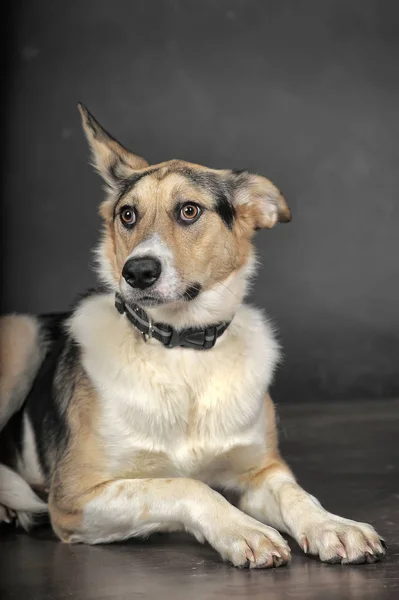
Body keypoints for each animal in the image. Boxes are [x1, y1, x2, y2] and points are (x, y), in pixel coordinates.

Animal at [0, 103, 388, 568]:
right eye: (127, 214)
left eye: (189, 211)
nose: (137, 272)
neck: (183, 347)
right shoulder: (74, 497)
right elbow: (186, 484)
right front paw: (244, 530)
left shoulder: (262, 470)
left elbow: (298, 495)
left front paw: (334, 526)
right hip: (21, 336)